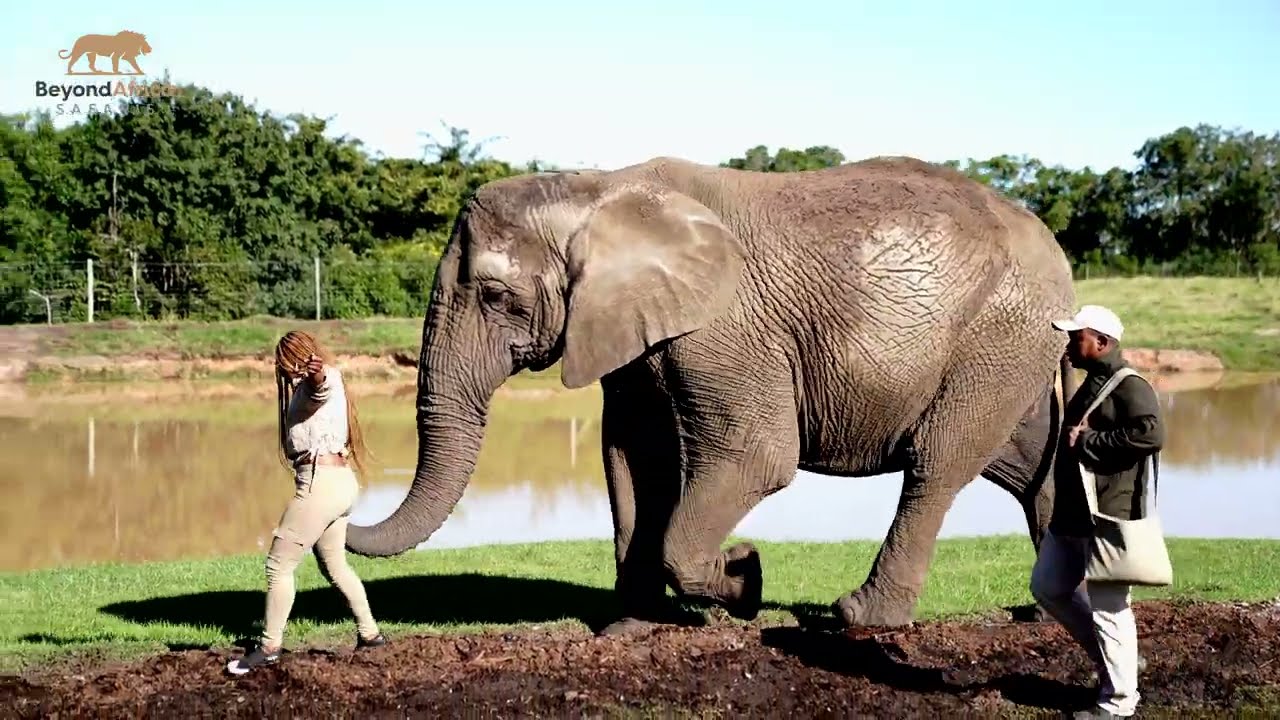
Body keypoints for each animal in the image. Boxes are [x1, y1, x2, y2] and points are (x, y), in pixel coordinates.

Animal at [344, 154, 1079, 633]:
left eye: (496, 297)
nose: (342, 507)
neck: (595, 188)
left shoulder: (725, 326)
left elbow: (756, 456)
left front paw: (747, 580)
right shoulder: (631, 331)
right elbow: (632, 458)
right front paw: (633, 629)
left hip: (993, 339)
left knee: (936, 467)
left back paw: (861, 618)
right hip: (1015, 351)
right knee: (1030, 467)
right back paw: (1046, 613)